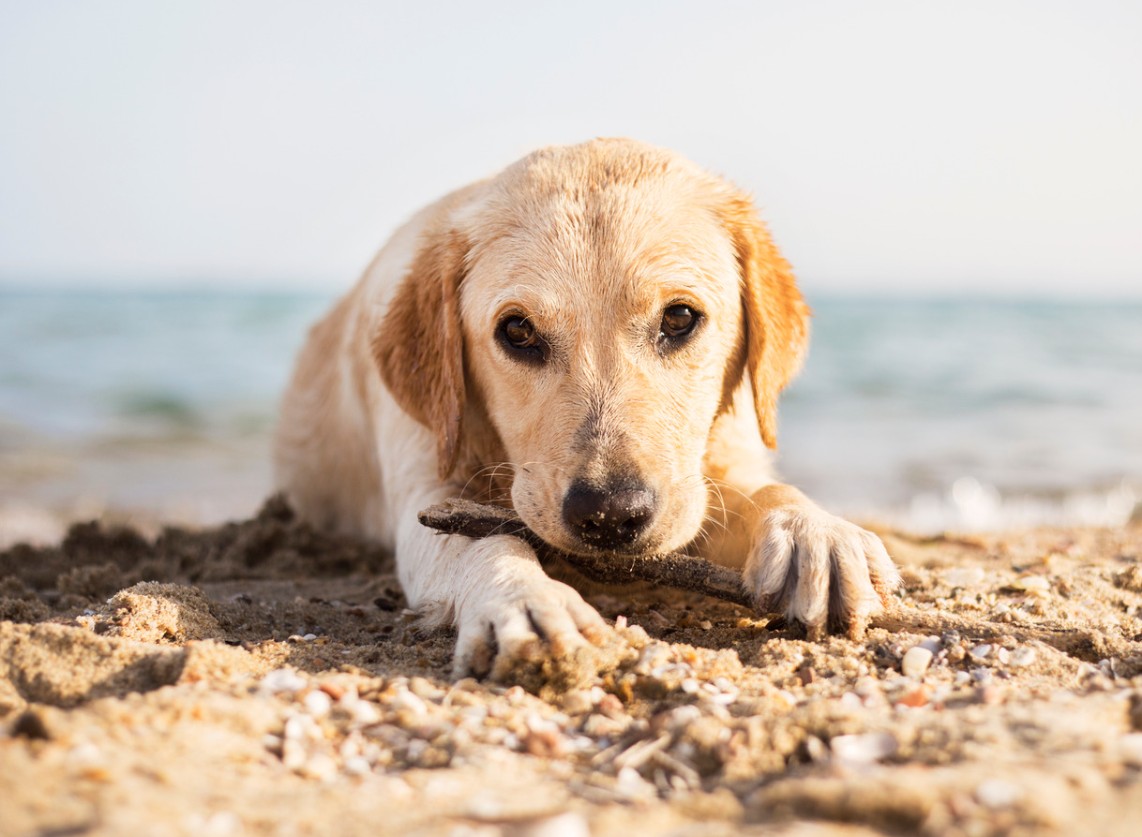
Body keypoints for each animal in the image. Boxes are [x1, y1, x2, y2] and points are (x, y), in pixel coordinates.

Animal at [271, 135, 895, 671]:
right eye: (517, 331)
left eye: (680, 317)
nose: (611, 515)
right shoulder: (424, 491)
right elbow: (480, 542)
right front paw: (524, 599)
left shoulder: (722, 461)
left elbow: (764, 490)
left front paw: (814, 533)